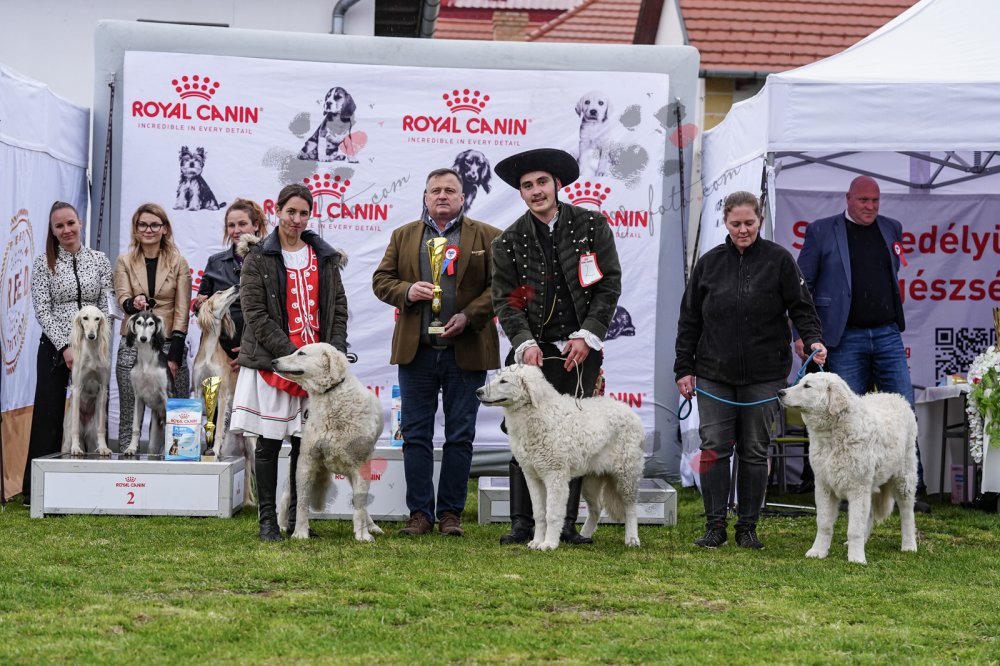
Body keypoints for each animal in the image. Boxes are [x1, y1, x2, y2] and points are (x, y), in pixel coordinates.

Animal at [62, 306, 112, 456]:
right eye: (85, 318)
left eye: (97, 319)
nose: (91, 336)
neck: (92, 352)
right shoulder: (77, 388)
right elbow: (75, 430)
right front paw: (76, 448)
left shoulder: (102, 389)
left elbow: (101, 429)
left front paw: (103, 448)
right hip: (68, 434)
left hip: (91, 434)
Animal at [122, 311, 170, 457]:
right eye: (138, 322)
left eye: (151, 323)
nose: (143, 338)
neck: (147, 360)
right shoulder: (138, 397)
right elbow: (136, 427)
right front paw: (131, 448)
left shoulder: (166, 395)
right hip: (153, 440)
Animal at [271, 343, 384, 541]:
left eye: (301, 353)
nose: (273, 361)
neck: (331, 395)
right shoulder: (306, 462)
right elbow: (301, 503)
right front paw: (300, 533)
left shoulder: (361, 465)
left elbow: (360, 506)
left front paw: (362, 535)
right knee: (286, 497)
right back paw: (282, 525)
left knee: (360, 503)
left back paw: (372, 526)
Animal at [476, 365, 644, 550]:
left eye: (504, 381)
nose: (478, 392)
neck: (536, 414)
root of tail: (628, 410)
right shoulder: (532, 477)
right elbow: (539, 514)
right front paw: (536, 541)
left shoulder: (554, 476)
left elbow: (552, 514)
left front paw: (549, 543)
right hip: (590, 480)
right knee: (596, 509)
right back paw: (584, 536)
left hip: (626, 474)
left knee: (630, 508)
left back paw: (632, 539)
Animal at [778, 373, 918, 565]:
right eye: (800, 383)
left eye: (807, 386)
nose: (780, 392)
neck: (832, 435)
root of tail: (895, 396)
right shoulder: (824, 487)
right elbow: (824, 524)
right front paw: (818, 551)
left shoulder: (857, 488)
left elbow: (854, 528)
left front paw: (857, 558)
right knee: (870, 515)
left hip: (903, 479)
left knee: (906, 513)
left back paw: (909, 545)